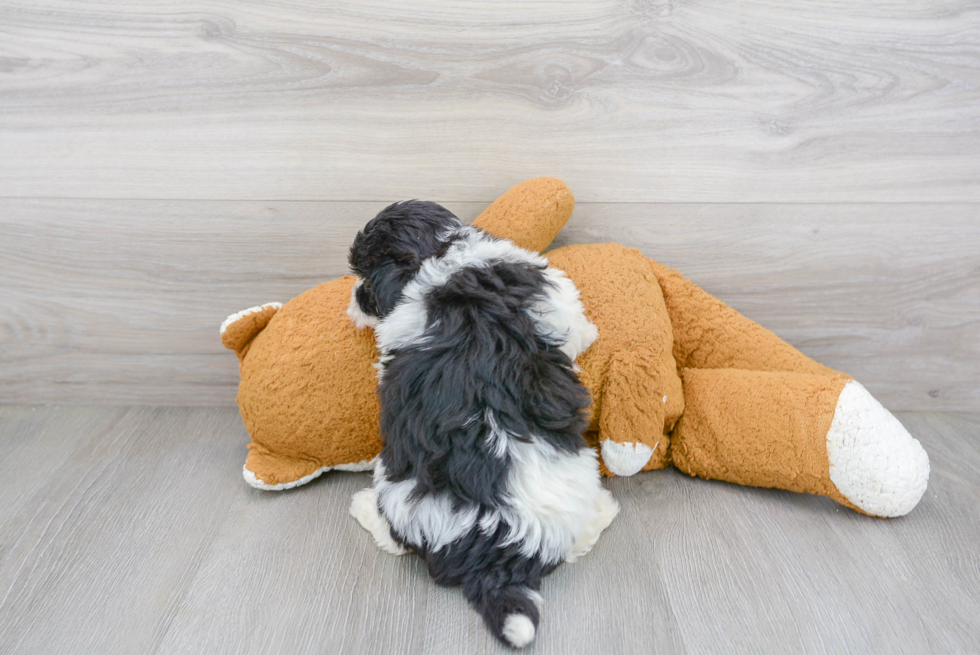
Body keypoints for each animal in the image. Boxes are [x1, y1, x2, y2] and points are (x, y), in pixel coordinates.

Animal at [348, 201, 616, 652]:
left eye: (364, 277)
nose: (354, 297)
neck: (440, 257)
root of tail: (499, 548)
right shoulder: (554, 296)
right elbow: (578, 326)